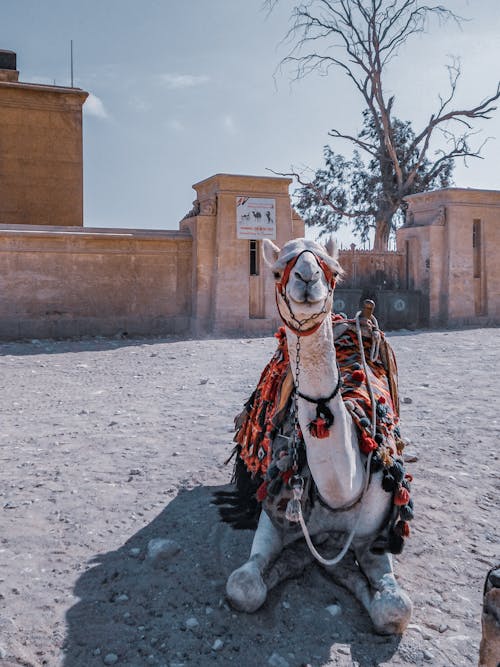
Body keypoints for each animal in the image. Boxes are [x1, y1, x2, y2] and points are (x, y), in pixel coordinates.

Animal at [219, 237, 414, 636]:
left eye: (334, 269)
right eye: (277, 269)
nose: (307, 277)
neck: (341, 490)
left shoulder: (375, 533)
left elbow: (395, 608)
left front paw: (338, 567)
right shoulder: (274, 514)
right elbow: (244, 586)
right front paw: (295, 560)